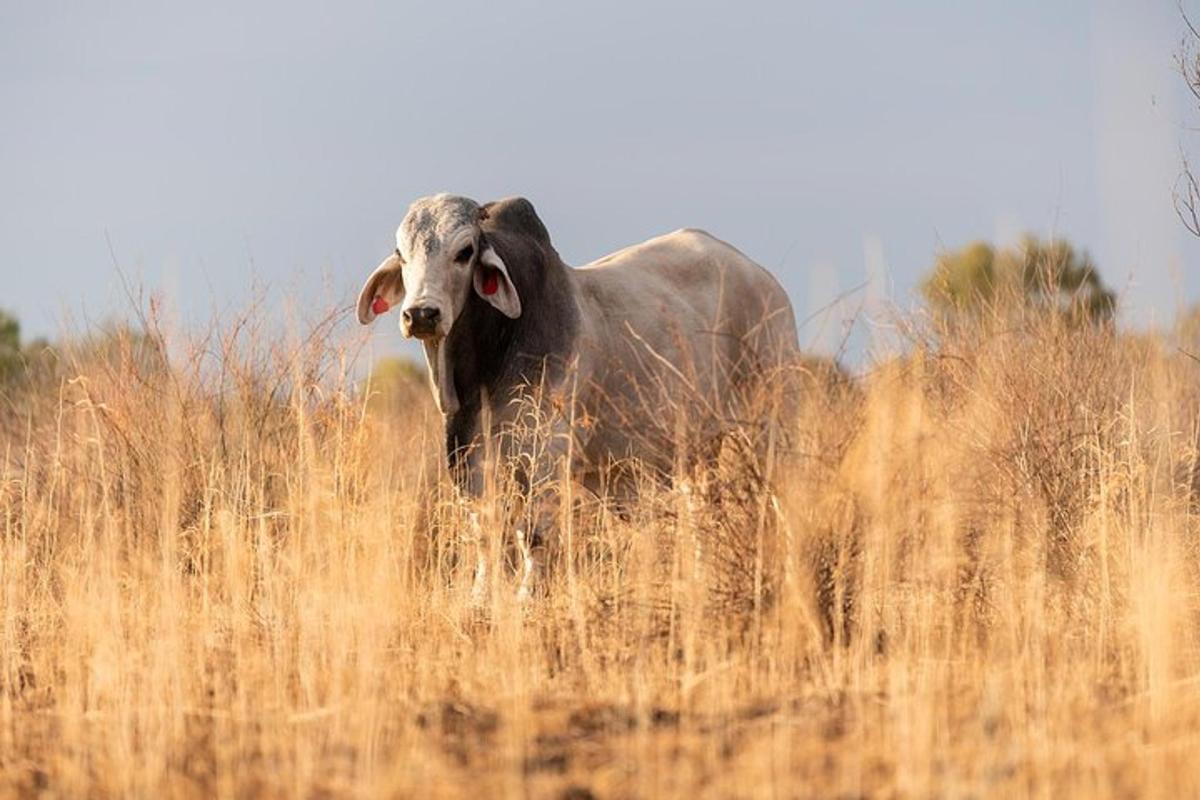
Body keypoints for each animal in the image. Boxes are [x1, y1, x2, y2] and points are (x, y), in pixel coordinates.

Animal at [357, 191, 806, 594]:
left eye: (465, 251)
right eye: (401, 253)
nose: (422, 314)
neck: (487, 360)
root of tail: (763, 279)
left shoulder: (546, 452)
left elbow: (533, 534)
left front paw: (526, 599)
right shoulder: (469, 455)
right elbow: (486, 533)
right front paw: (480, 600)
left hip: (772, 424)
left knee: (783, 498)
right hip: (698, 449)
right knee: (702, 507)